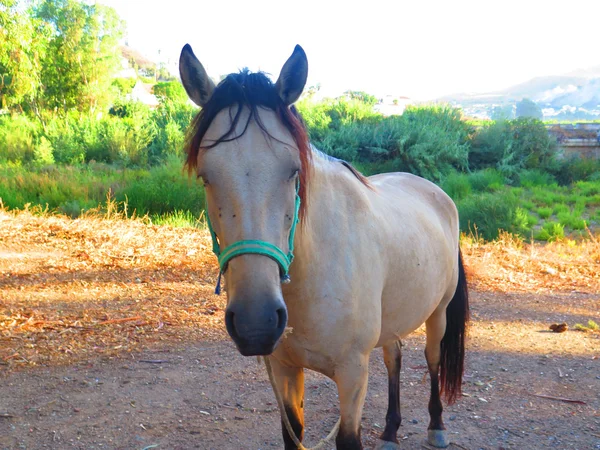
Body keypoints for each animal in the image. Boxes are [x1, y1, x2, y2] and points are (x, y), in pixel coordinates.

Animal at [178, 43, 468, 450]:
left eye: (293, 171)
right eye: (206, 176)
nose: (256, 322)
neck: (316, 273)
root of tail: (437, 194)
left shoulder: (352, 373)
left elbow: (348, 438)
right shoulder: (284, 368)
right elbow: (293, 435)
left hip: (438, 314)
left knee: (432, 359)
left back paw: (436, 426)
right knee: (394, 358)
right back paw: (390, 432)